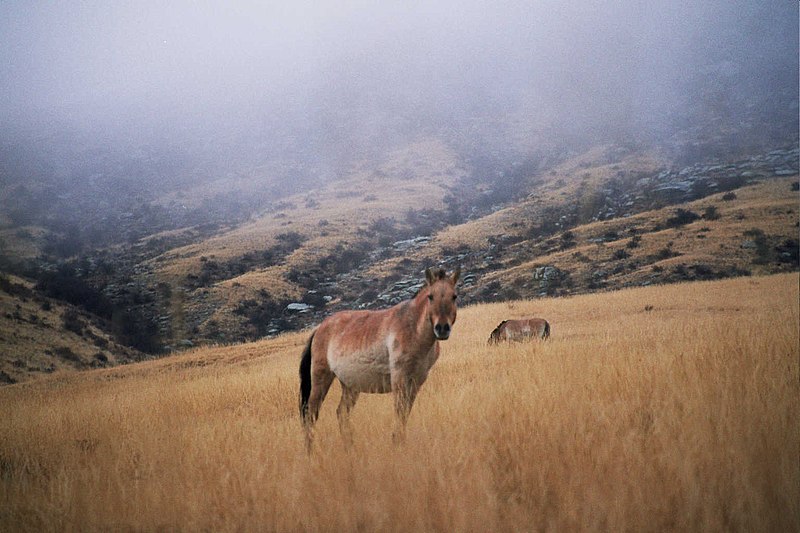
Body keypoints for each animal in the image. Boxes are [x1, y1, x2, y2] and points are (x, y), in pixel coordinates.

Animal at [296, 266, 460, 444]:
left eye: (454, 296)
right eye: (430, 296)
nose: (442, 328)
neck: (413, 330)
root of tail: (319, 329)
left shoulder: (417, 381)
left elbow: (405, 414)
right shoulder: (399, 378)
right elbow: (400, 412)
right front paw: (397, 442)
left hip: (350, 386)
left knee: (341, 414)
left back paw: (350, 446)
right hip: (321, 379)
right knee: (311, 415)